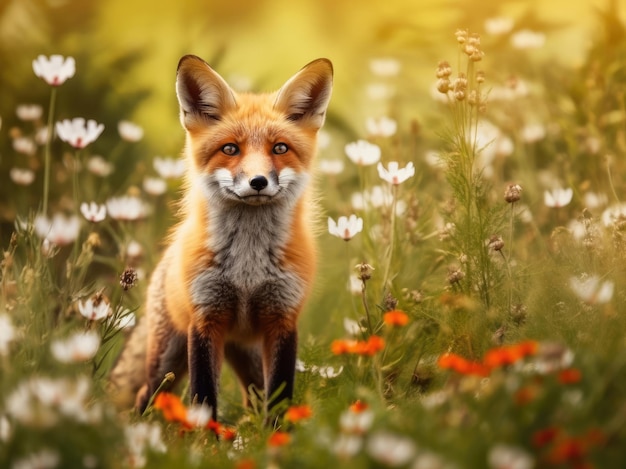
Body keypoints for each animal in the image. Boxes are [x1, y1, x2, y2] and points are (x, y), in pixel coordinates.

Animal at [108, 54, 332, 416]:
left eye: (279, 148)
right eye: (230, 149)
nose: (258, 181)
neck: (247, 270)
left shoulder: (282, 319)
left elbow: (279, 396)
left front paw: (278, 431)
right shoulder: (205, 318)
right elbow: (203, 396)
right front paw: (204, 432)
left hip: (250, 356)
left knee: (254, 399)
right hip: (167, 360)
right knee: (144, 396)